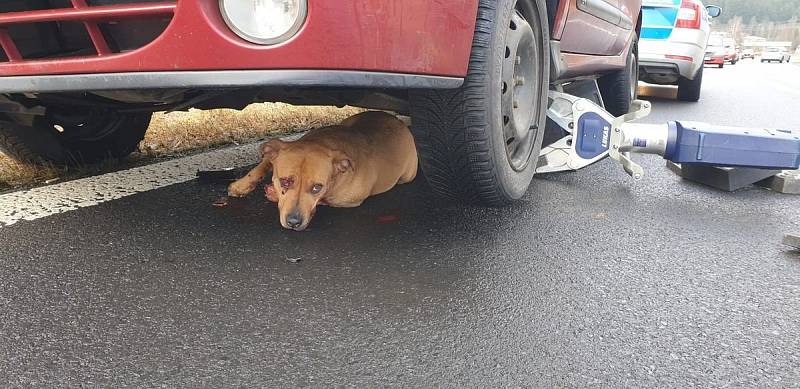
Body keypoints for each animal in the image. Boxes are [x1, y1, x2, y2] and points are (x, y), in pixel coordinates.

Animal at [227, 110, 418, 229]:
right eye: (285, 181)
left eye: (317, 188)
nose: (294, 222)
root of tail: (400, 122)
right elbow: (264, 163)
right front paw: (241, 185)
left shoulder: (348, 201)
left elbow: (323, 201)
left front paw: (273, 193)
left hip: (407, 175)